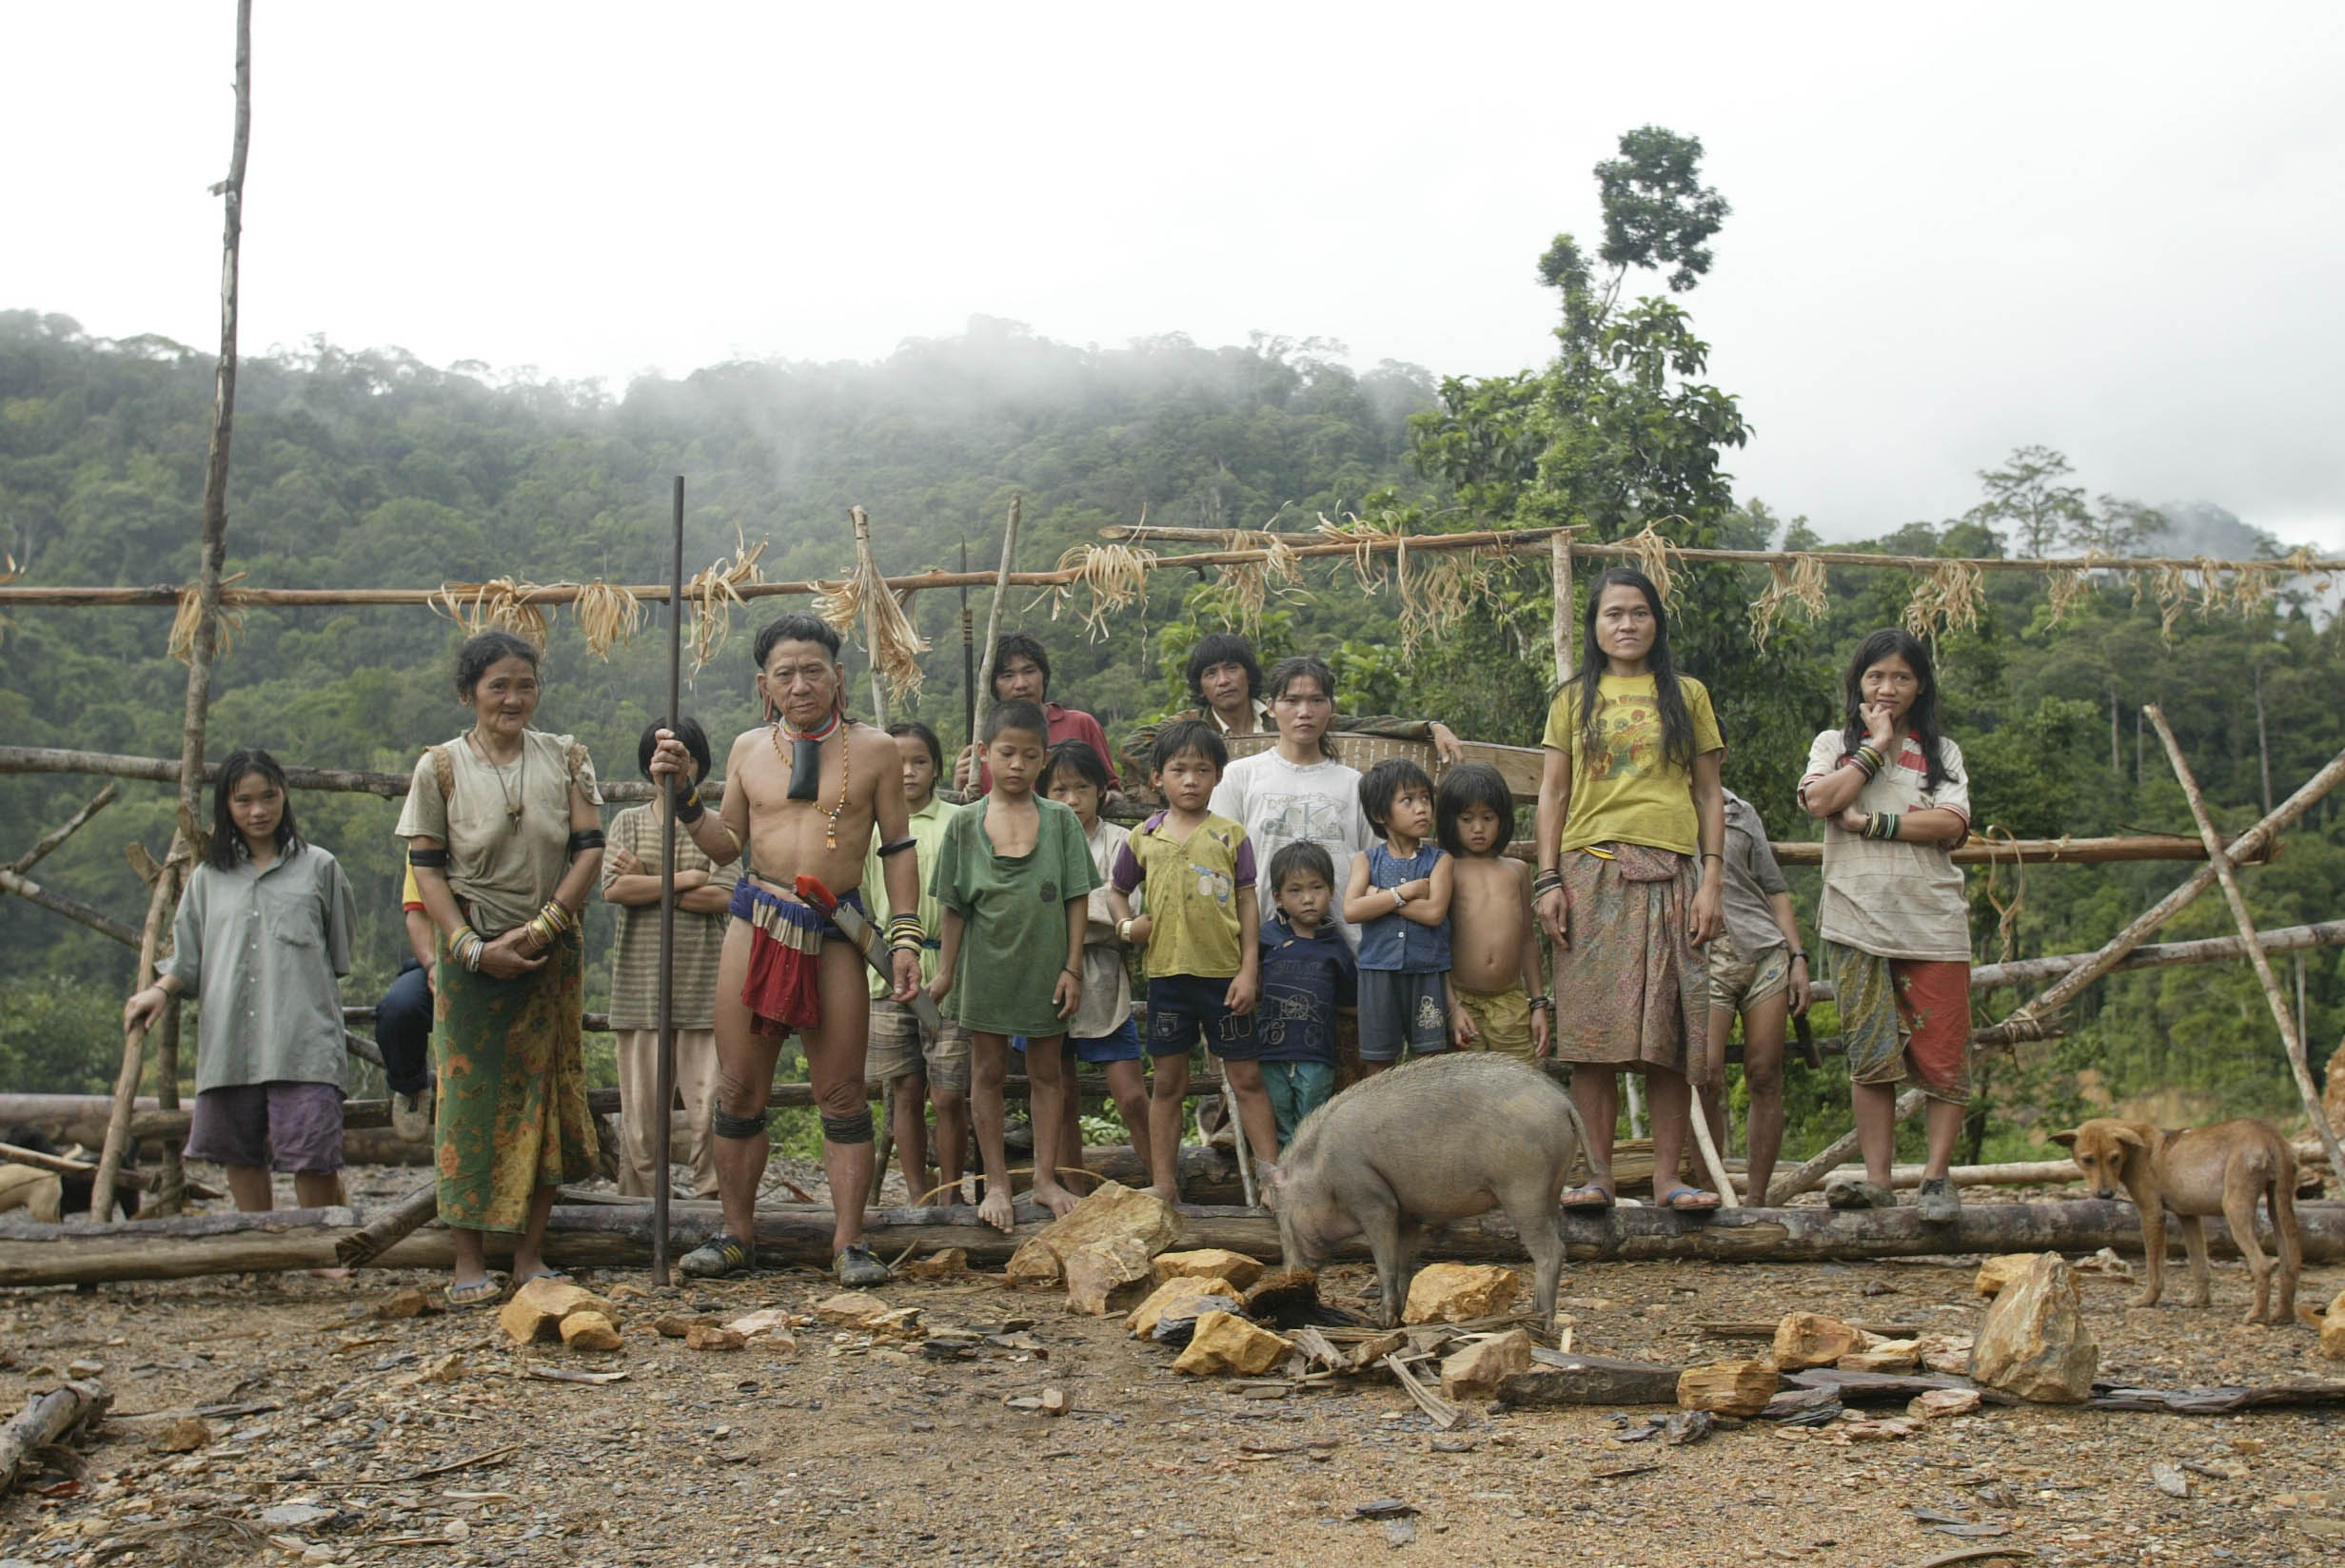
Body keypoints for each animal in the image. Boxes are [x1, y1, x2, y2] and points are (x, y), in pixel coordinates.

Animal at [1266, 1045, 1613, 1331]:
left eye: (1280, 1215)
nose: (1286, 1275)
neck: (1320, 1169)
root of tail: (1564, 1103)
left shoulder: (1374, 1200)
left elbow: (1385, 1260)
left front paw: (1383, 1321)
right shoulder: (1407, 1212)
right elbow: (1404, 1261)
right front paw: (1400, 1318)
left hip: (1524, 1190)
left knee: (1552, 1251)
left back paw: (1540, 1324)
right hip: (1551, 1190)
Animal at [2054, 1110, 2307, 1322]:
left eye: (2114, 1158)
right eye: (2088, 1160)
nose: (2106, 1194)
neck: (2134, 1150)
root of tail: (2269, 1133)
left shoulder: (2152, 1214)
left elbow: (2154, 1267)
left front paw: (2147, 1300)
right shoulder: (2189, 1216)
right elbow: (2199, 1265)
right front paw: (2200, 1301)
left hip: (2235, 1206)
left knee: (2262, 1264)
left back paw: (2256, 1315)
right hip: (2278, 1205)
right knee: (2290, 1263)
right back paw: (2283, 1315)